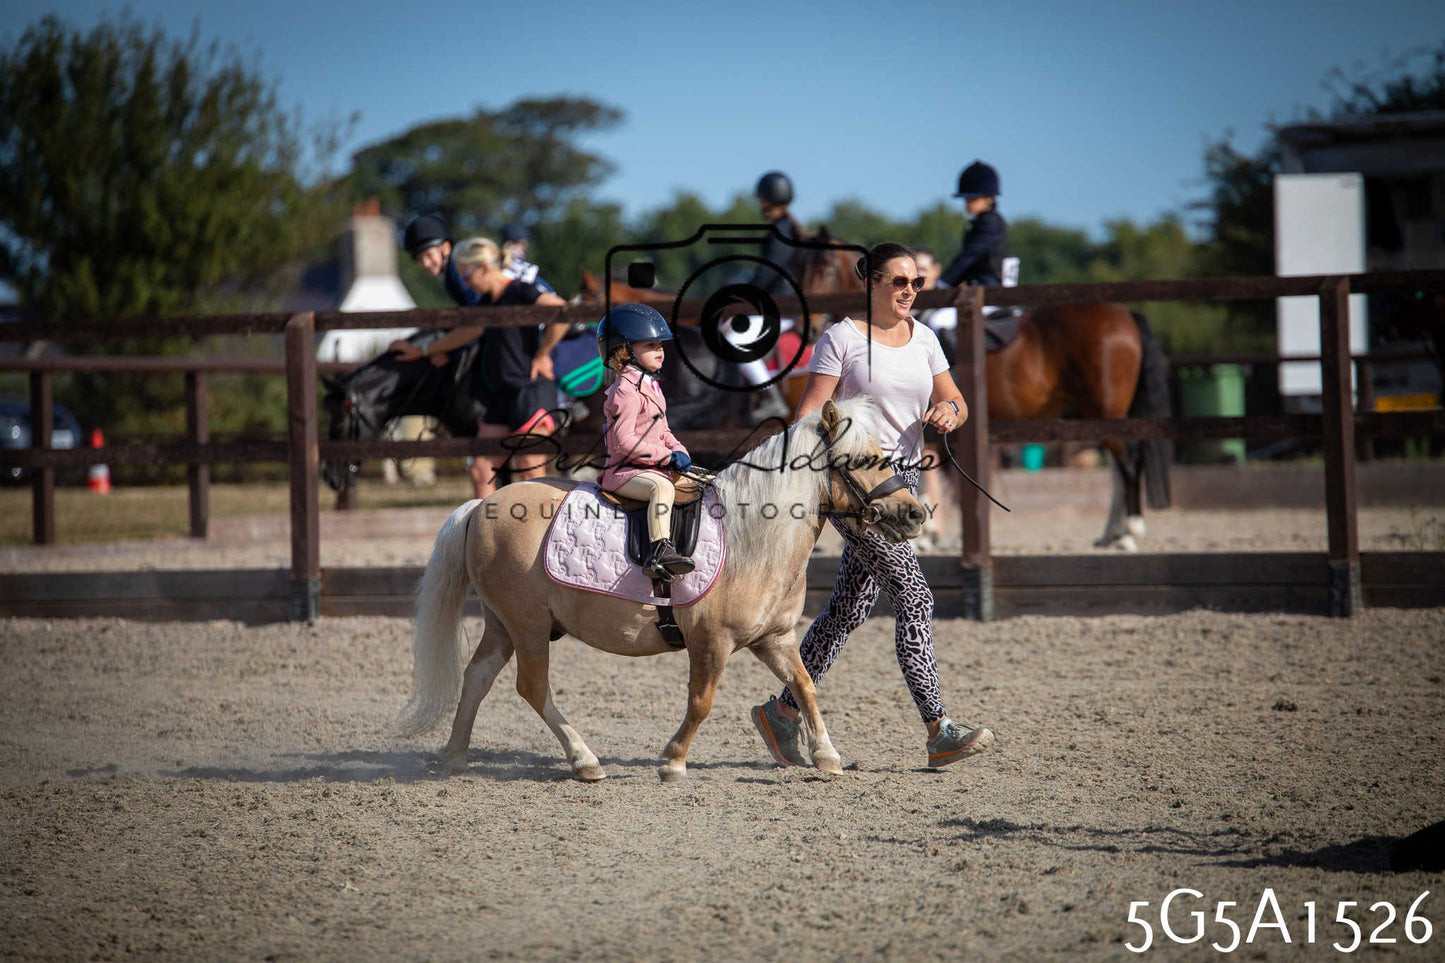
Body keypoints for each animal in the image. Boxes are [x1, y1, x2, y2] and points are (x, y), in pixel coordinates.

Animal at [396, 397, 925, 782]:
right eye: (867, 460)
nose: (916, 513)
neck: (752, 537)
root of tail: (482, 504)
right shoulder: (711, 642)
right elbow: (702, 702)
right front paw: (672, 761)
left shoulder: (773, 639)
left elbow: (805, 685)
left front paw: (826, 755)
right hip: (527, 626)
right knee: (531, 687)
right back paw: (584, 760)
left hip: (503, 625)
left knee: (477, 677)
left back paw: (455, 756)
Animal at [794, 238, 1172, 551]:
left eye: (826, 269)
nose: (809, 327)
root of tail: (1126, 315)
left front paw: (931, 537)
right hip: (1095, 416)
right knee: (1118, 467)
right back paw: (1110, 533)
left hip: (1105, 412)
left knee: (1127, 462)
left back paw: (1128, 533)